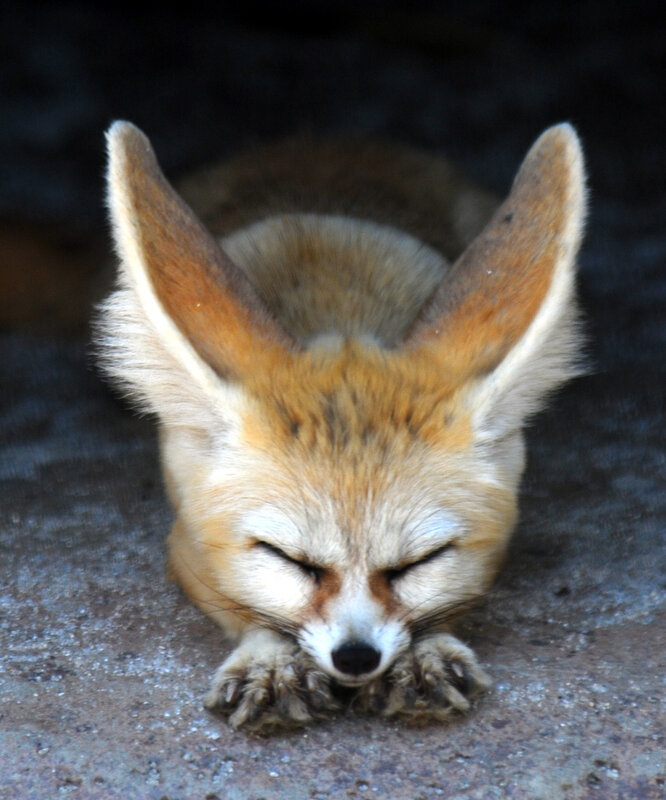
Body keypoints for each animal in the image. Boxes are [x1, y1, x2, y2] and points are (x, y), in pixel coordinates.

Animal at [96, 120, 586, 732]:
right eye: (287, 559)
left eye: (420, 563)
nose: (356, 657)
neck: (337, 294)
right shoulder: (188, 551)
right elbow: (248, 606)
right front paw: (271, 659)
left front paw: (422, 654)